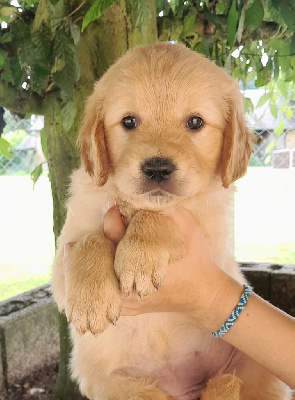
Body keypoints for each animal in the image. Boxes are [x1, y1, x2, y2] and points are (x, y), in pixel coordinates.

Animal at [51, 43, 292, 400]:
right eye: (128, 121)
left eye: (195, 122)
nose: (157, 169)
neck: (131, 206)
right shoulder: (61, 263)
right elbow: (88, 240)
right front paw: (90, 300)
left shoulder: (210, 230)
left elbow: (163, 215)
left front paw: (140, 257)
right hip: (115, 384)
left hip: (255, 365)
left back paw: (221, 386)